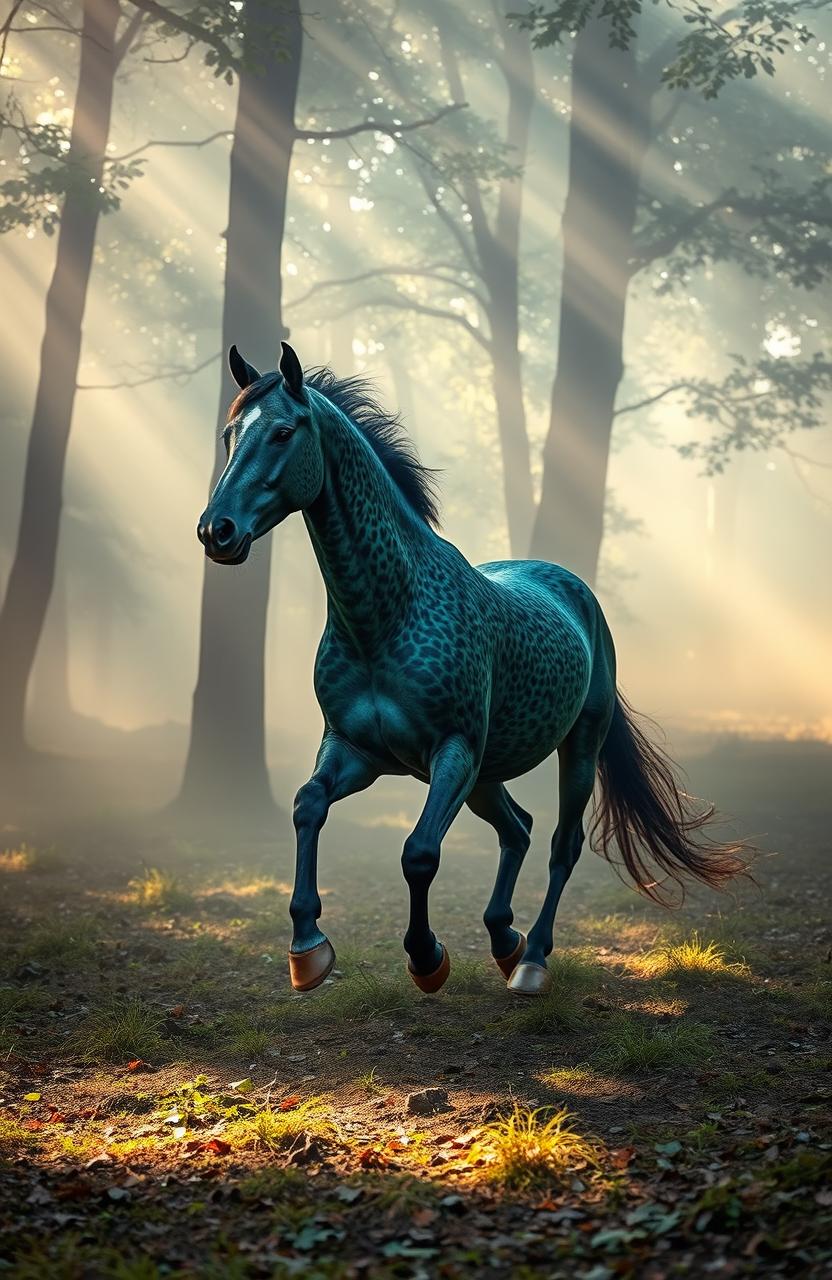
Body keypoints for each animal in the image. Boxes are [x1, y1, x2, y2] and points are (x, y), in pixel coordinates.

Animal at [197, 342, 746, 997]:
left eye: (283, 432)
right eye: (229, 435)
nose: (216, 531)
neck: (383, 615)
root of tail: (575, 590)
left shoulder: (451, 752)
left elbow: (418, 853)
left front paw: (426, 957)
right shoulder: (357, 750)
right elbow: (307, 806)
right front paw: (308, 949)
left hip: (574, 748)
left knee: (560, 844)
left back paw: (532, 959)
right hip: (487, 774)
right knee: (519, 828)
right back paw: (505, 941)